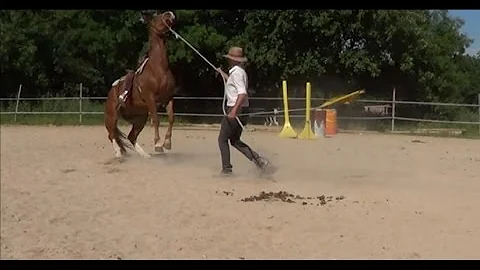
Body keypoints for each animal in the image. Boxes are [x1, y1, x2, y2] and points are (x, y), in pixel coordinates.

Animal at [104, 11, 175, 158]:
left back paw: (145, 156)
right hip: (112, 116)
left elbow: (171, 118)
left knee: (131, 136)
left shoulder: (169, 98)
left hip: (140, 118)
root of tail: (111, 92)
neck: (159, 69)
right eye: (156, 17)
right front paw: (158, 145)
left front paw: (167, 143)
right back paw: (118, 154)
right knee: (111, 134)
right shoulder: (150, 98)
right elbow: (156, 119)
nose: (169, 13)